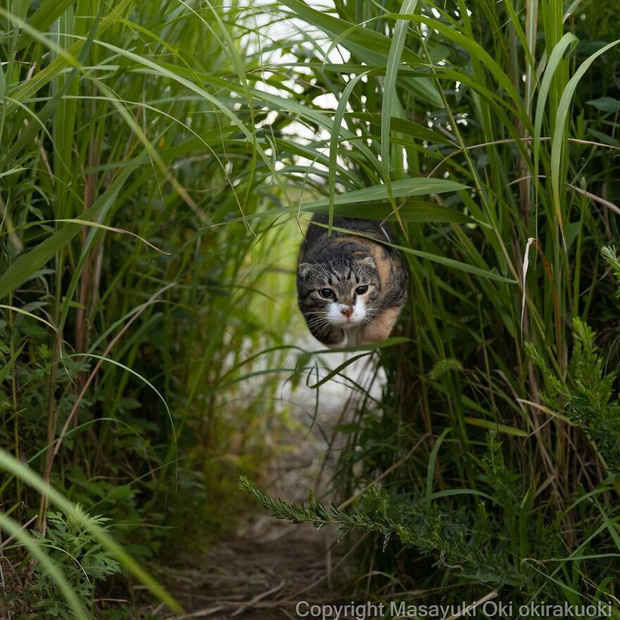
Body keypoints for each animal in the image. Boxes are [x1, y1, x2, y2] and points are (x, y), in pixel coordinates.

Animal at [298, 214, 410, 348]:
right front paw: (339, 342)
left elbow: (379, 328)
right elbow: (319, 327)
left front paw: (365, 341)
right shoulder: (302, 297)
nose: (347, 311)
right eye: (326, 293)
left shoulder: (398, 284)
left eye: (361, 289)